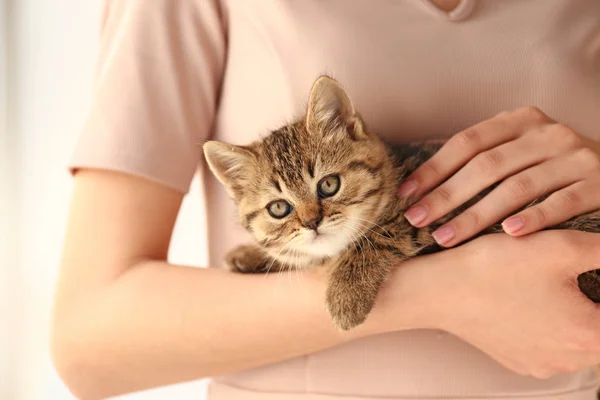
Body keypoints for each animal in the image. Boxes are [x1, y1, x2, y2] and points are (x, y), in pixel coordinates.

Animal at [203, 75, 600, 332]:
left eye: (329, 185)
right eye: (279, 208)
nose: (312, 222)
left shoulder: (445, 213)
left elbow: (378, 236)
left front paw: (346, 295)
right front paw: (251, 254)